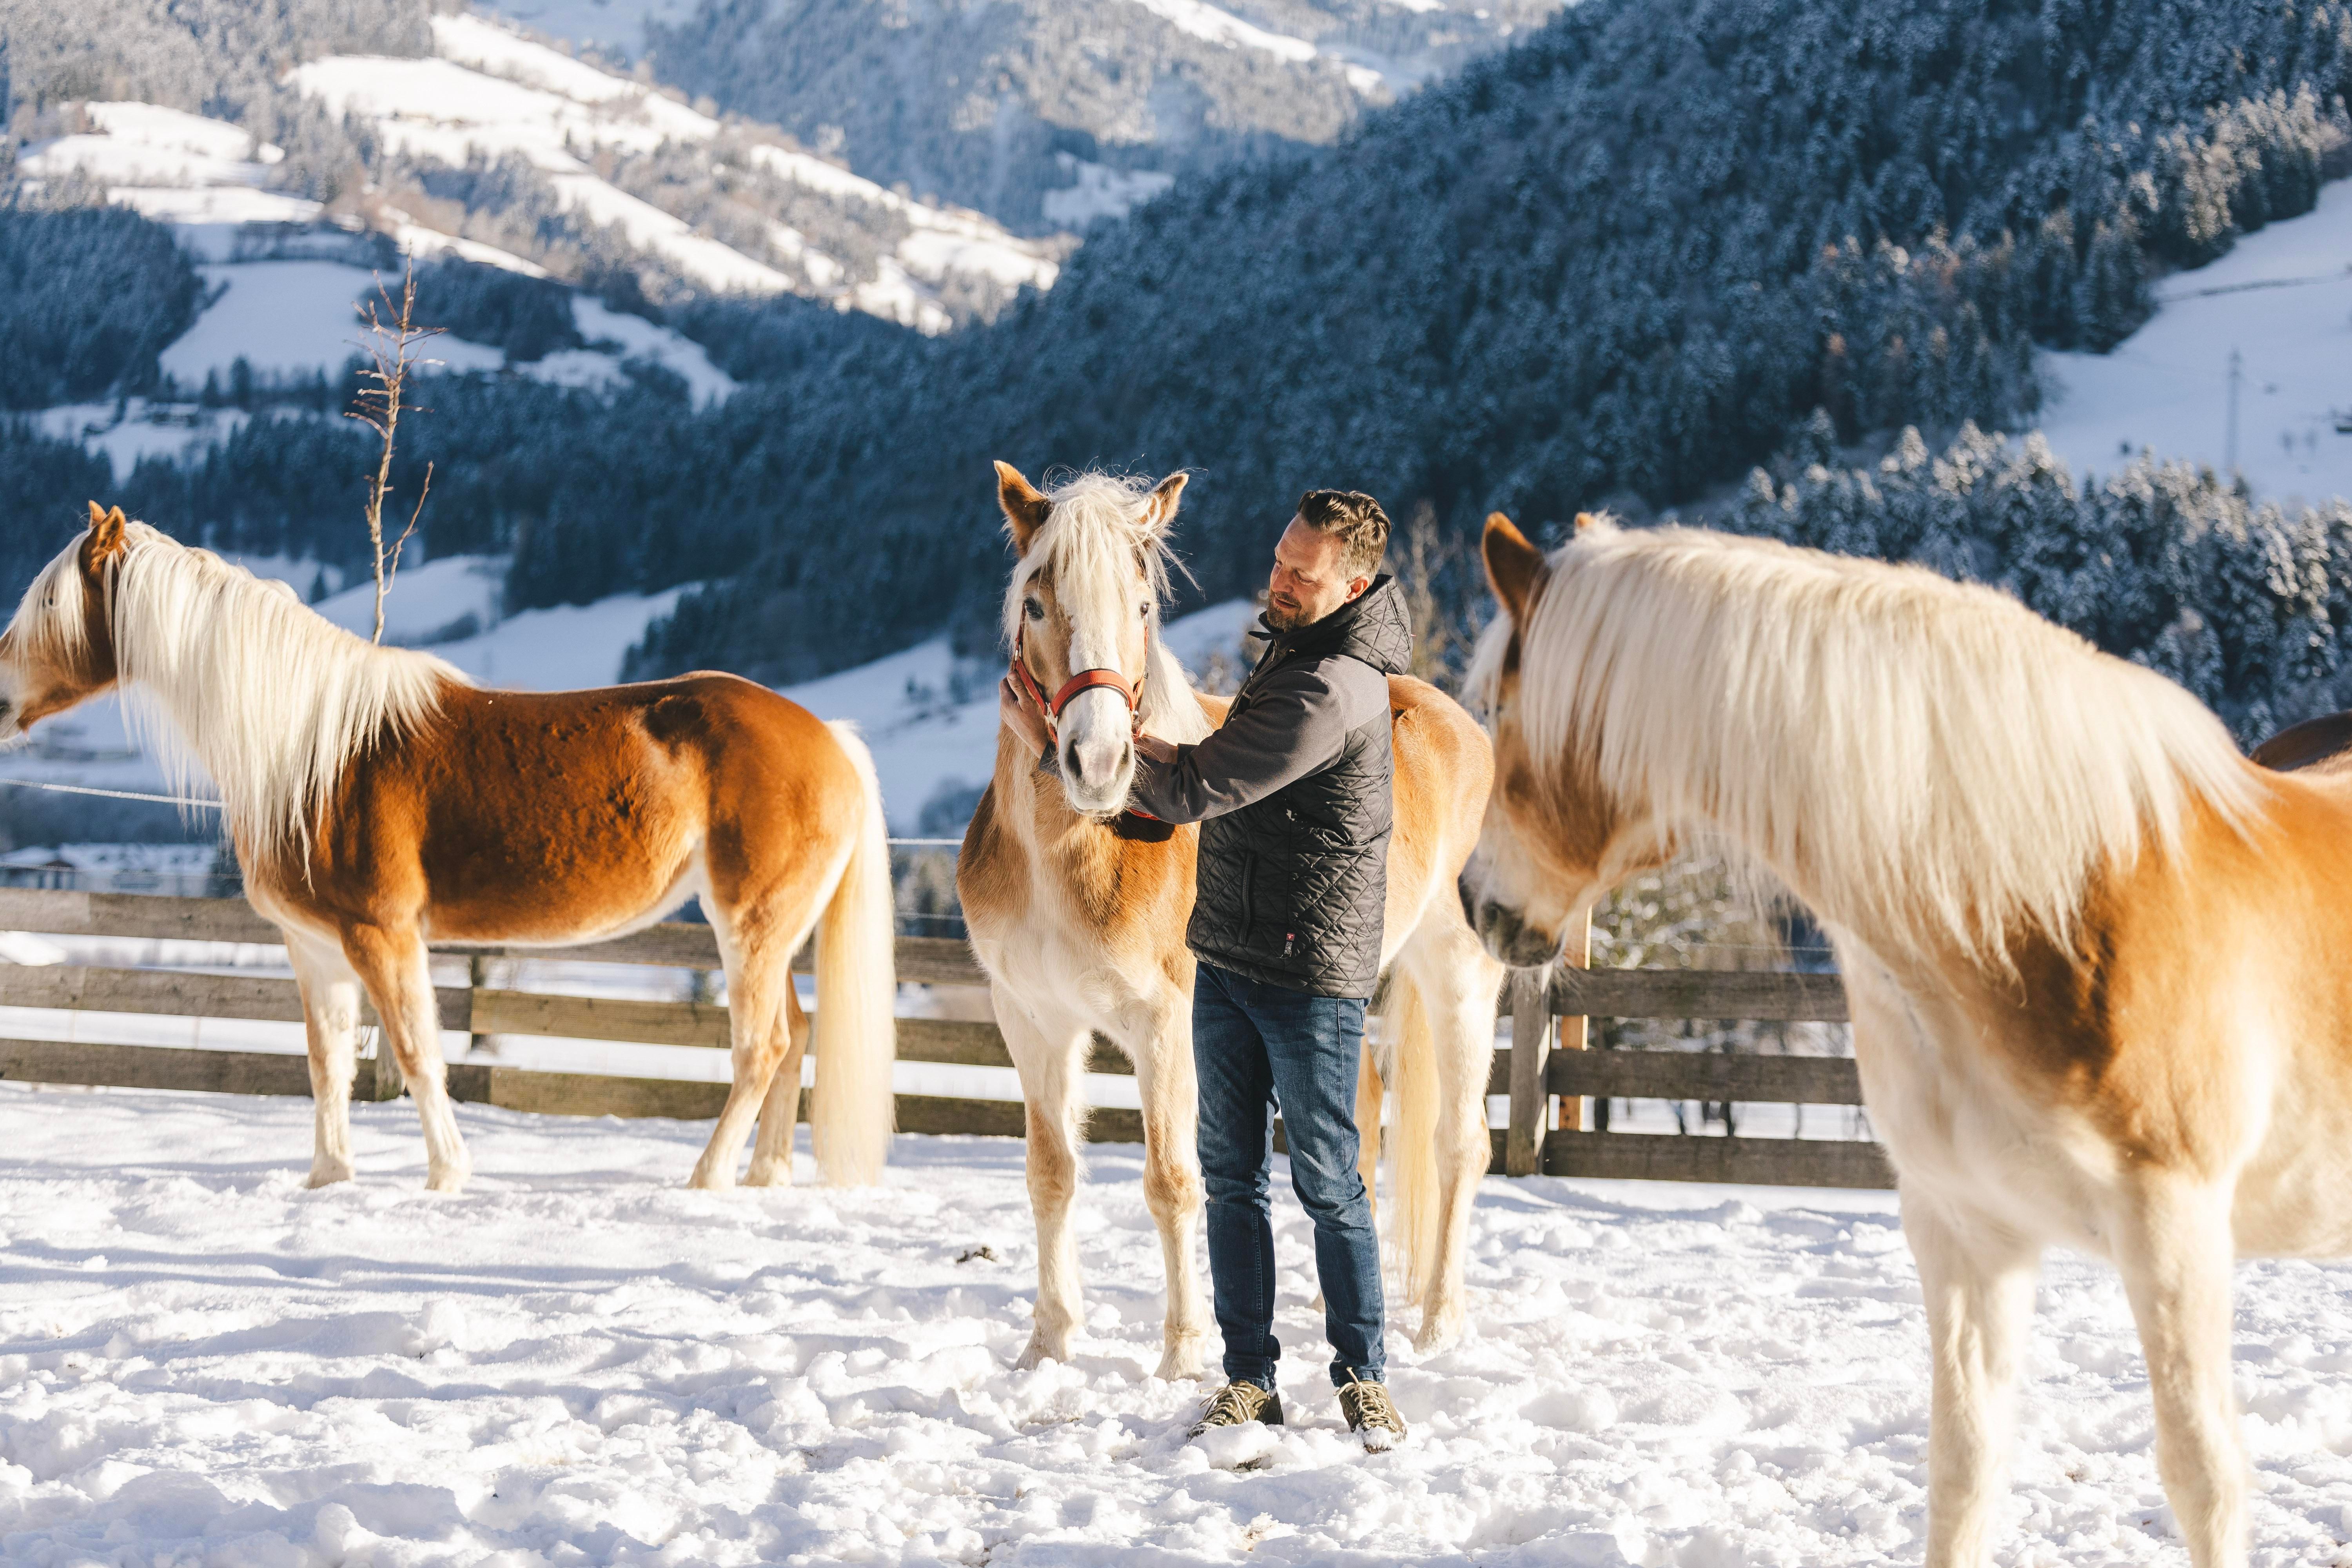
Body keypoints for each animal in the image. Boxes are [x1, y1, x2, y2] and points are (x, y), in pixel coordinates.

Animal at [0, 506, 896, 1194]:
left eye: (45, 612)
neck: (311, 748)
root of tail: (830, 738)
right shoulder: (314, 948)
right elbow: (328, 1062)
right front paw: (328, 1180)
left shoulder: (383, 934)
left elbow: (416, 1052)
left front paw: (446, 1175)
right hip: (774, 936)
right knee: (796, 1036)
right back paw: (765, 1176)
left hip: (750, 926)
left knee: (761, 1048)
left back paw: (707, 1178)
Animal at [957, 465, 1505, 1381]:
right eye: (1035, 604)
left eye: (1144, 605)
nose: (1100, 764)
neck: (1073, 850)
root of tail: (1453, 715)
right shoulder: (1031, 1019)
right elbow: (1050, 1173)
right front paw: (1050, 1341)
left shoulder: (1166, 1023)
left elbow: (1173, 1180)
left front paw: (1181, 1355)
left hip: (1452, 968)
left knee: (1459, 1140)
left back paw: (1439, 1323)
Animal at [1460, 509, 2352, 1568]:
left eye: (1503, 708)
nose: (1477, 903)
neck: (2043, 908)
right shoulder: (1963, 1228)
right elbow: (1964, 1466)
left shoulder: (2175, 1230)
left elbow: (2203, 1478)